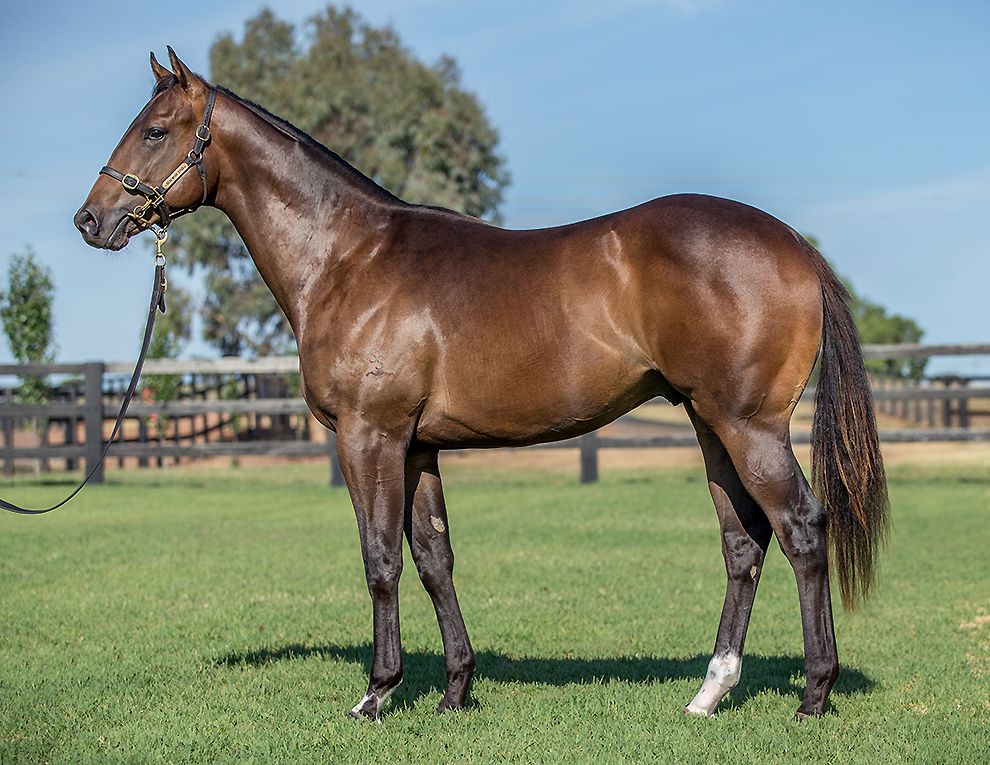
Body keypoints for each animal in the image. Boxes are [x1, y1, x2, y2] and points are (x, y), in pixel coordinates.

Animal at [75, 48, 889, 721]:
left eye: (154, 130)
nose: (91, 219)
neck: (348, 257)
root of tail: (794, 246)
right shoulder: (416, 447)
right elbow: (435, 559)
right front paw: (455, 689)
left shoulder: (369, 437)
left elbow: (380, 559)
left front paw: (378, 692)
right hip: (707, 421)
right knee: (743, 542)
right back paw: (710, 693)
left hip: (748, 425)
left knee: (801, 529)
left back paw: (814, 695)